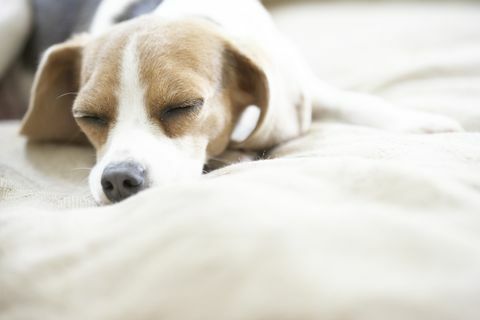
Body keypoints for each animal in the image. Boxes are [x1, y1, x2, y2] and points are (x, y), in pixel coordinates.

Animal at [17, 0, 462, 205]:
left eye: (183, 106)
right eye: (87, 116)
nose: (118, 180)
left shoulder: (296, 82)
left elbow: (351, 101)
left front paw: (419, 123)